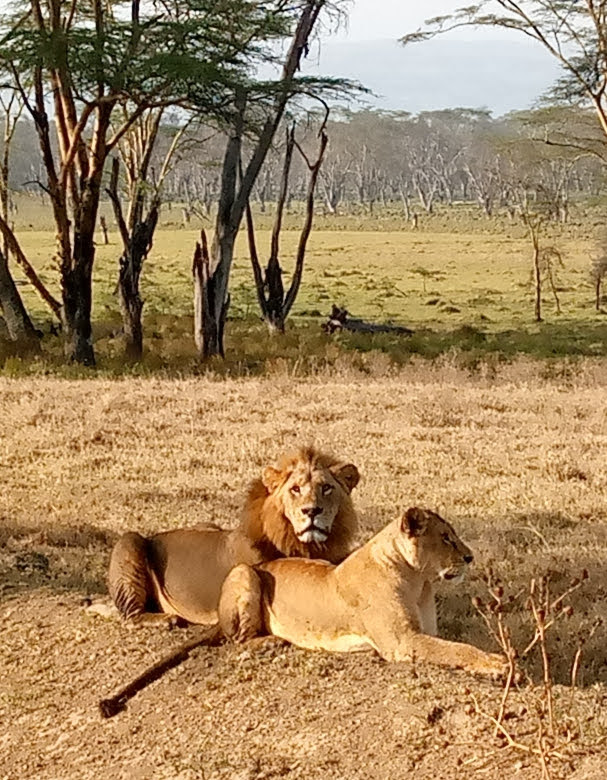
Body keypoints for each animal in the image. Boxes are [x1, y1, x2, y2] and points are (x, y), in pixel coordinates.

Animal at [108, 447, 360, 625]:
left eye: (326, 488)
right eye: (295, 489)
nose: (312, 511)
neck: (309, 545)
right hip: (129, 540)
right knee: (131, 617)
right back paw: (164, 620)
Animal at [218, 507, 507, 677]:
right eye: (445, 537)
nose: (470, 557)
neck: (419, 582)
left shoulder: (424, 632)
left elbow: (452, 645)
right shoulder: (402, 641)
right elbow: (458, 649)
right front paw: (498, 663)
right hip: (244, 572)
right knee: (238, 640)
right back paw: (272, 641)